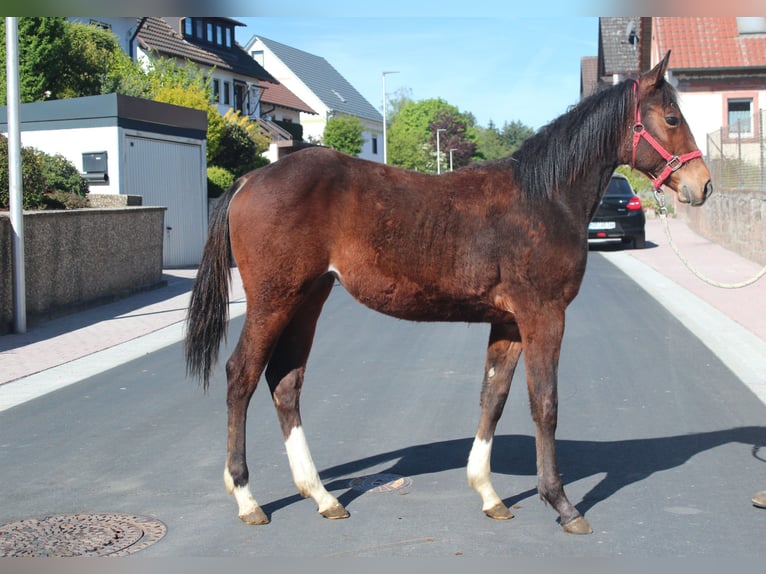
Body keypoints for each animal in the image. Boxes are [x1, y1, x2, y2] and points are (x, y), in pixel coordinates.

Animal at [185, 51, 712, 535]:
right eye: (671, 118)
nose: (702, 185)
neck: (544, 197)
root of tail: (249, 179)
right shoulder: (543, 315)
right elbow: (545, 404)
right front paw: (562, 504)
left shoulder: (508, 321)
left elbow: (493, 397)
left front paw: (489, 493)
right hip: (273, 300)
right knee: (241, 376)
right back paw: (247, 497)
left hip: (308, 298)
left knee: (285, 382)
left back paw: (321, 496)